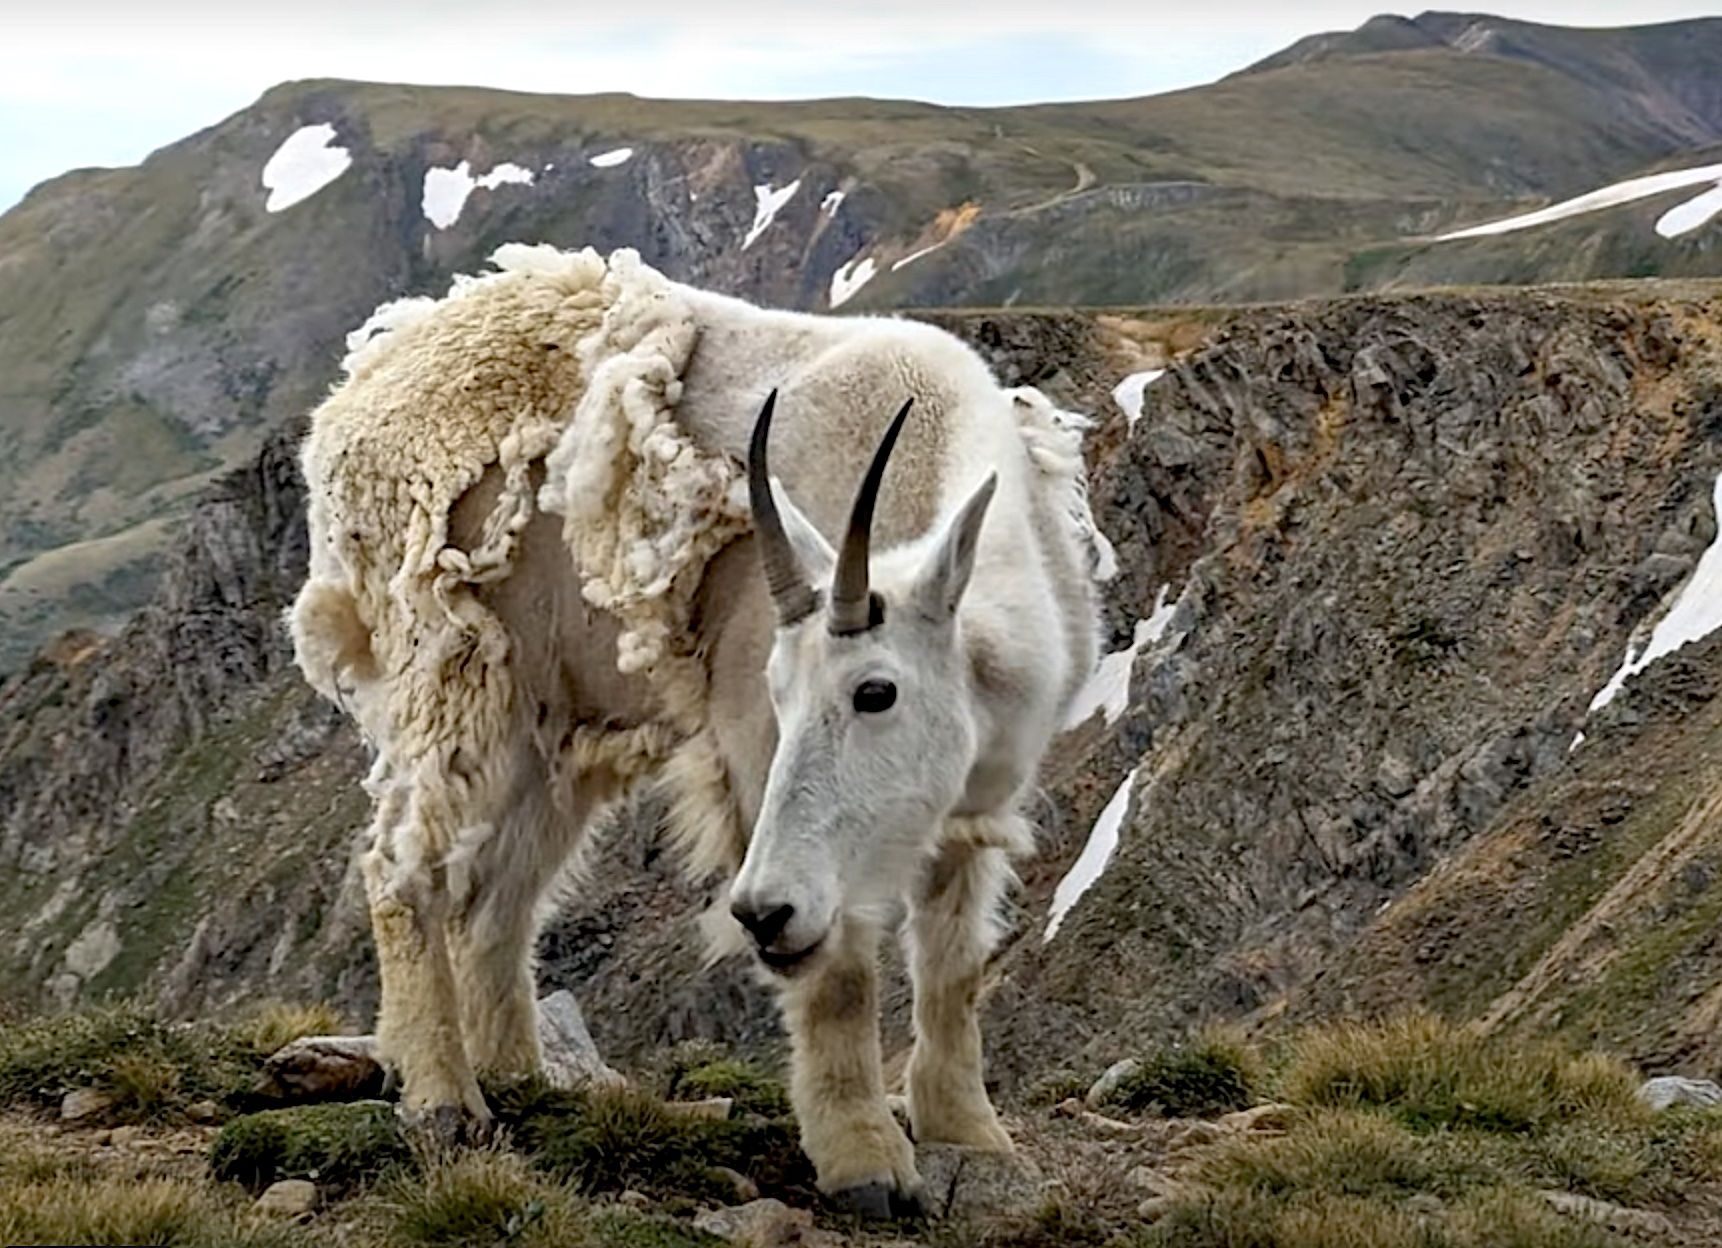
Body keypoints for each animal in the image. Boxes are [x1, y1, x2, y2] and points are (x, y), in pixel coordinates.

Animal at [292, 242, 1102, 1204]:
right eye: (778, 692)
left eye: (876, 692)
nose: (762, 913)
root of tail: (351, 400)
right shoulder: (752, 745)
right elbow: (841, 967)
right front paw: (863, 1157)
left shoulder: (977, 798)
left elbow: (952, 961)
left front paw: (970, 1131)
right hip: (450, 668)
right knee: (399, 864)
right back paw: (444, 1096)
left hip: (547, 724)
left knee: (500, 897)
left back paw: (521, 1078)